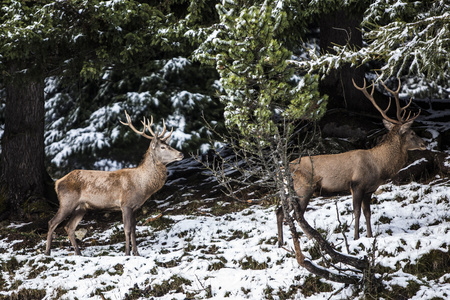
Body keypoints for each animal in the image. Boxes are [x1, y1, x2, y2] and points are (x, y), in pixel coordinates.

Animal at [46, 110, 184, 255]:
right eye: (163, 147)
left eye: (169, 145)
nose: (181, 154)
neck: (142, 185)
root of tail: (57, 182)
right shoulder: (125, 204)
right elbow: (127, 229)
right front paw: (127, 253)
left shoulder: (135, 207)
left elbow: (134, 229)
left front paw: (136, 253)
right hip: (67, 202)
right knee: (52, 222)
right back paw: (48, 252)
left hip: (81, 207)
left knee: (69, 227)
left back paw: (78, 253)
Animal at [276, 78, 428, 247]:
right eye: (412, 133)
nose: (424, 144)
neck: (379, 166)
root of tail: (281, 170)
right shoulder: (357, 184)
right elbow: (357, 211)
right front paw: (356, 237)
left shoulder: (369, 189)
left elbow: (368, 212)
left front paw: (369, 235)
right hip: (303, 187)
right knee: (298, 215)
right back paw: (312, 240)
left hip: (291, 191)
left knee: (280, 212)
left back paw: (281, 242)